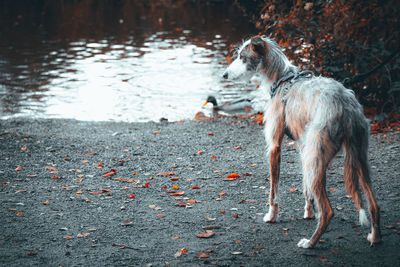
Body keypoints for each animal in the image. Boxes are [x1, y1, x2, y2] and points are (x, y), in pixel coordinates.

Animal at [222, 35, 382, 249]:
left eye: (242, 57)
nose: (224, 75)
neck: (282, 79)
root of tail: (346, 107)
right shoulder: (302, 145)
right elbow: (305, 189)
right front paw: (308, 212)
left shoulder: (274, 146)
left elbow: (273, 190)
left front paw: (271, 216)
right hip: (352, 158)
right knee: (373, 204)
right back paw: (375, 237)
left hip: (317, 157)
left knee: (328, 211)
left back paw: (310, 243)